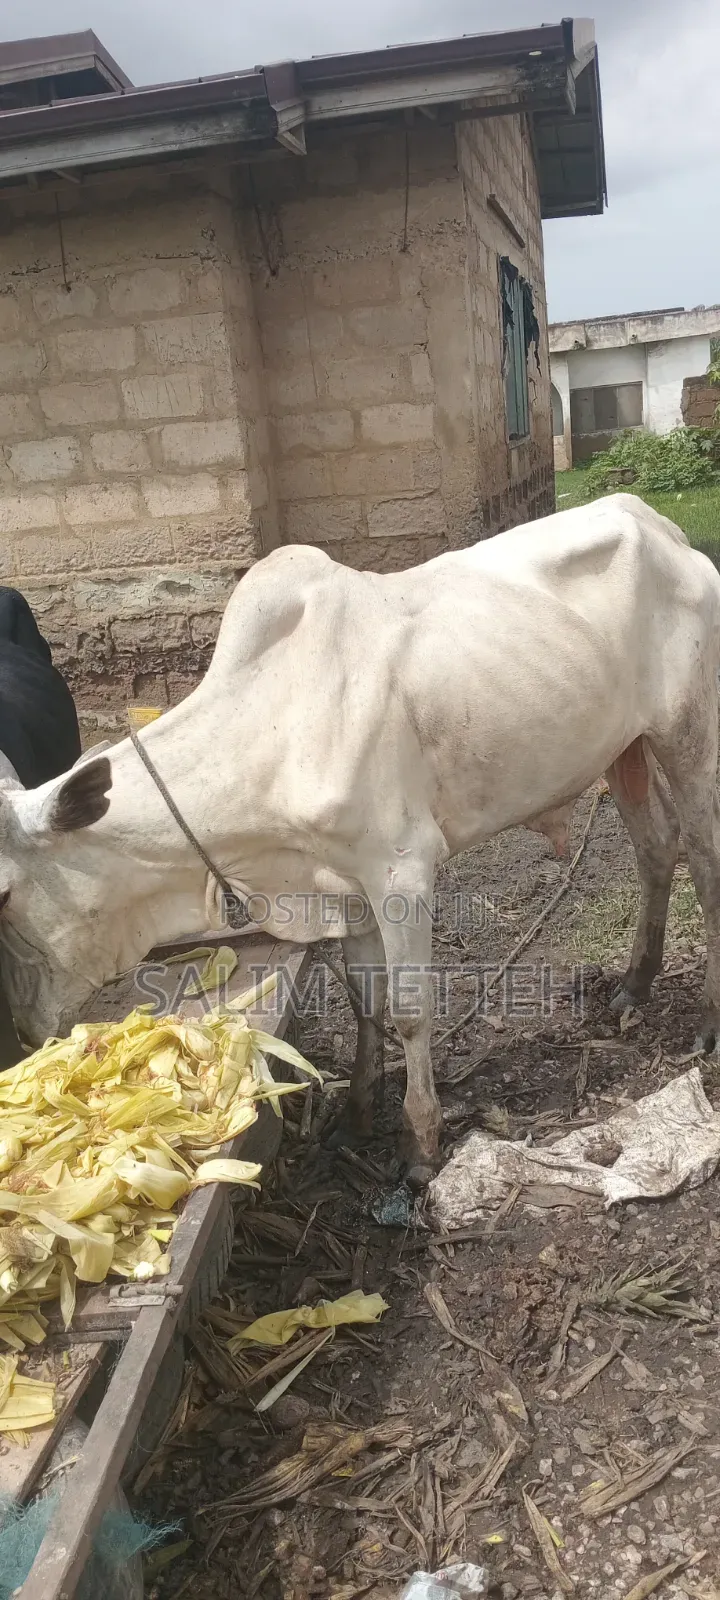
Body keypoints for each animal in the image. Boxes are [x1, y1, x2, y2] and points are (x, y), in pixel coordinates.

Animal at [0, 497, 717, 1180]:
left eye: (4, 893)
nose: (25, 1030)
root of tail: (661, 529)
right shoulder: (344, 886)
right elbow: (364, 1003)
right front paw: (355, 1119)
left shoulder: (403, 869)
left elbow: (408, 1010)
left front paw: (420, 1143)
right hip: (623, 748)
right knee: (657, 846)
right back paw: (635, 985)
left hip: (687, 734)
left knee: (704, 861)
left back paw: (707, 1023)